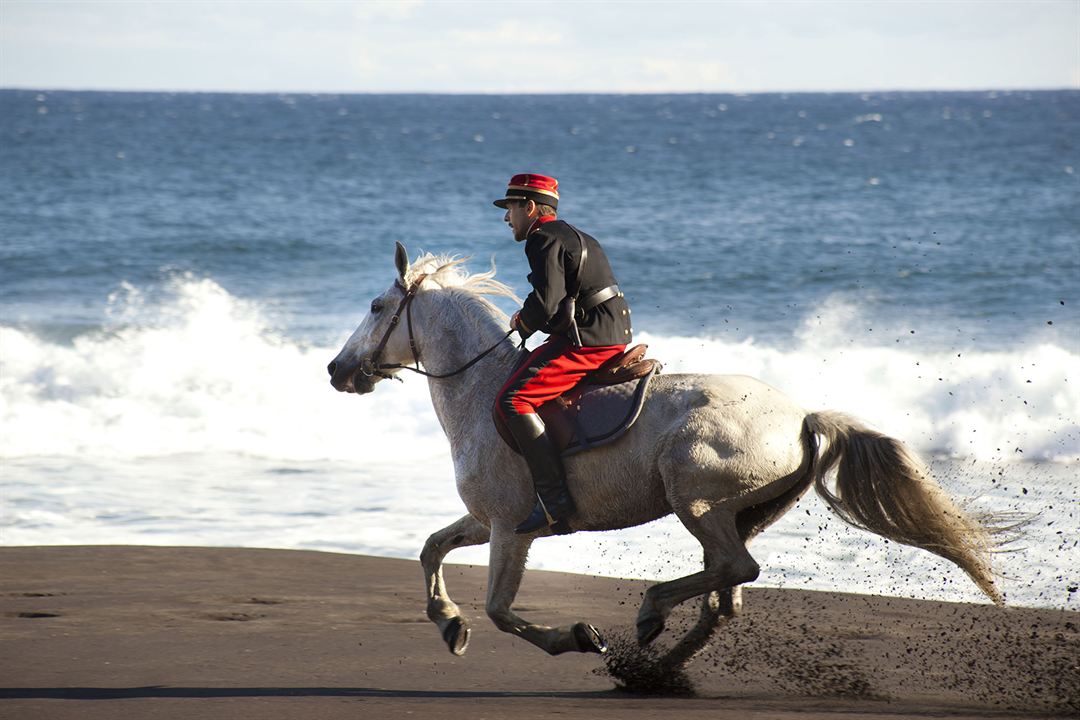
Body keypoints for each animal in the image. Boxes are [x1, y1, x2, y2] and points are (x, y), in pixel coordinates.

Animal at [326, 246, 1002, 664]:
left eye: (377, 308)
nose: (337, 370)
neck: (480, 387)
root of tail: (800, 418)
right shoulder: (484, 519)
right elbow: (431, 548)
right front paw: (447, 621)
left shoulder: (511, 528)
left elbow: (499, 609)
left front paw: (576, 636)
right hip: (735, 514)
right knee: (725, 593)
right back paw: (659, 665)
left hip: (695, 499)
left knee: (735, 573)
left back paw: (651, 616)